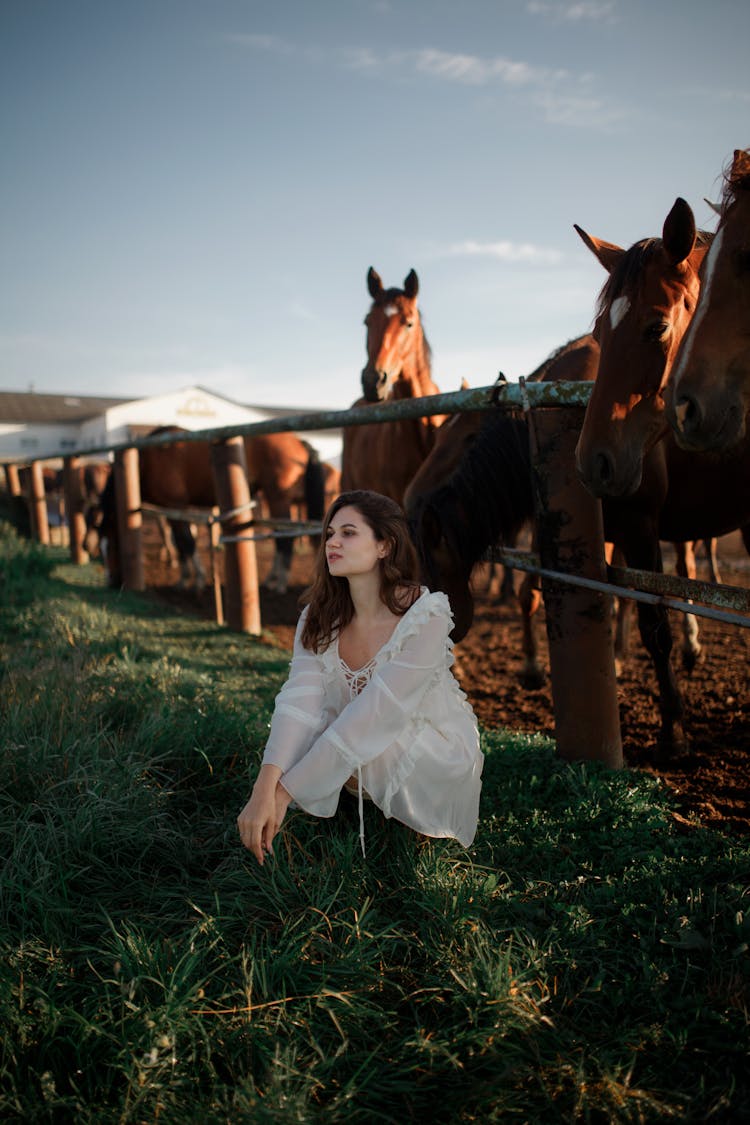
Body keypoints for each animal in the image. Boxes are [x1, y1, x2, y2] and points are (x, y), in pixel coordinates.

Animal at [91, 425, 326, 594]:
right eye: (100, 548)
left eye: (111, 546)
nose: (111, 581)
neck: (148, 460)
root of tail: (298, 442)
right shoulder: (171, 509)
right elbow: (181, 543)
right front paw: (185, 579)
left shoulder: (176, 505)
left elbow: (186, 541)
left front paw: (196, 580)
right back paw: (271, 579)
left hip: (277, 498)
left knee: (285, 539)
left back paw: (280, 583)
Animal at [571, 198, 750, 751]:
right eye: (600, 333)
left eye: (656, 328)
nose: (593, 463)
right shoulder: (633, 528)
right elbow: (652, 619)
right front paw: (674, 722)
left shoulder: (642, 524)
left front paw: (674, 724)